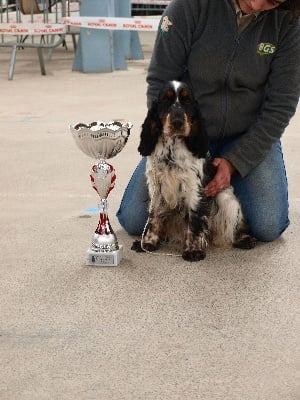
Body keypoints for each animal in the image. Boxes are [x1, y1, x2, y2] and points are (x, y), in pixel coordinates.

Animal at [131, 81, 255, 262]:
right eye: (166, 100)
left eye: (187, 101)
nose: (177, 122)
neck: (172, 147)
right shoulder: (157, 188)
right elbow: (153, 216)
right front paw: (147, 243)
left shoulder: (194, 188)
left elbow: (195, 220)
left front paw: (193, 251)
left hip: (225, 197)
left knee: (236, 225)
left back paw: (244, 239)